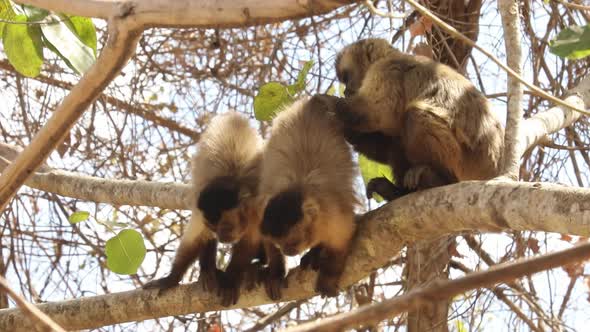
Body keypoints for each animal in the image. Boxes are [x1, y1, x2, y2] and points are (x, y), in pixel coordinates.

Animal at [146, 113, 290, 306]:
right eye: (214, 228)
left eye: (227, 227)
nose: (222, 237)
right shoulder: (201, 210)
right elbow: (196, 239)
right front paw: (172, 278)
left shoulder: (258, 208)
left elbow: (251, 242)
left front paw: (231, 280)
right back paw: (208, 272)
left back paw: (261, 268)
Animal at [260, 97, 360, 296]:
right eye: (280, 243)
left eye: (293, 242)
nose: (287, 251)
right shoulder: (262, 209)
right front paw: (276, 272)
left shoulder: (332, 216)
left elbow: (342, 239)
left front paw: (328, 277)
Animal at [320, 39, 504, 200]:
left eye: (346, 77)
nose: (346, 91)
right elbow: (386, 142)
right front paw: (344, 129)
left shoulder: (386, 70)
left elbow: (375, 115)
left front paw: (326, 102)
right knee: (398, 138)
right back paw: (397, 193)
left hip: (467, 166)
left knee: (414, 114)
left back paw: (439, 179)